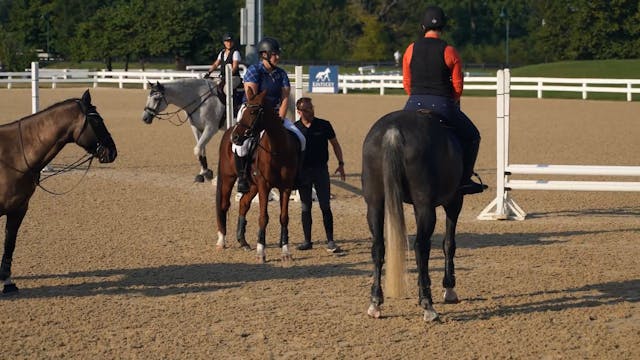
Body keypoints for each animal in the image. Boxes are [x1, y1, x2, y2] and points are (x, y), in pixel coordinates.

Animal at [0, 89, 117, 292]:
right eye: (97, 121)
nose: (112, 151)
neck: (12, 155)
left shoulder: (18, 209)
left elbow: (9, 244)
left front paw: (7, 281)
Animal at [216, 90, 302, 262]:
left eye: (253, 112)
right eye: (243, 110)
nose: (236, 137)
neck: (278, 150)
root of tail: (228, 131)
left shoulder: (286, 187)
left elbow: (284, 217)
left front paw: (285, 251)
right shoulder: (264, 186)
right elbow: (263, 217)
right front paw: (261, 251)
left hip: (252, 185)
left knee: (243, 204)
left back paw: (243, 242)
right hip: (228, 178)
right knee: (224, 205)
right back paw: (221, 241)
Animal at [362, 109, 462, 320]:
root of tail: (393, 130)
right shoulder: (454, 201)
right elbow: (449, 244)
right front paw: (449, 287)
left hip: (374, 204)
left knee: (378, 247)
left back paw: (375, 303)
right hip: (426, 206)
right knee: (420, 247)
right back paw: (428, 304)